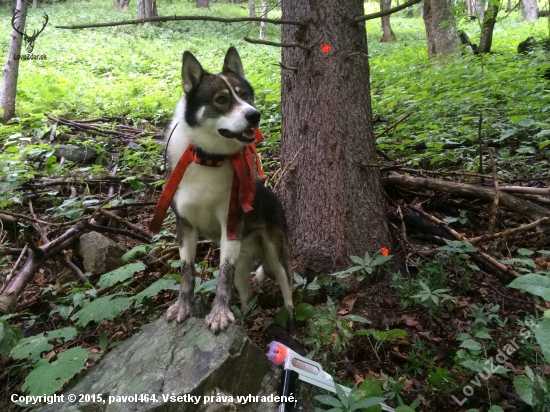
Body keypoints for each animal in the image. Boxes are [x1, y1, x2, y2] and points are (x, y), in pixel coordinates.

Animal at [163, 46, 294, 334]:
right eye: (222, 99)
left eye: (245, 95)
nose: (254, 115)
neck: (210, 159)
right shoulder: (185, 226)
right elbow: (187, 272)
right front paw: (183, 306)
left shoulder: (230, 224)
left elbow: (223, 274)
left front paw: (219, 313)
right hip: (243, 265)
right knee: (246, 294)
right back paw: (246, 317)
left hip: (276, 254)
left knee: (288, 290)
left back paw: (291, 323)